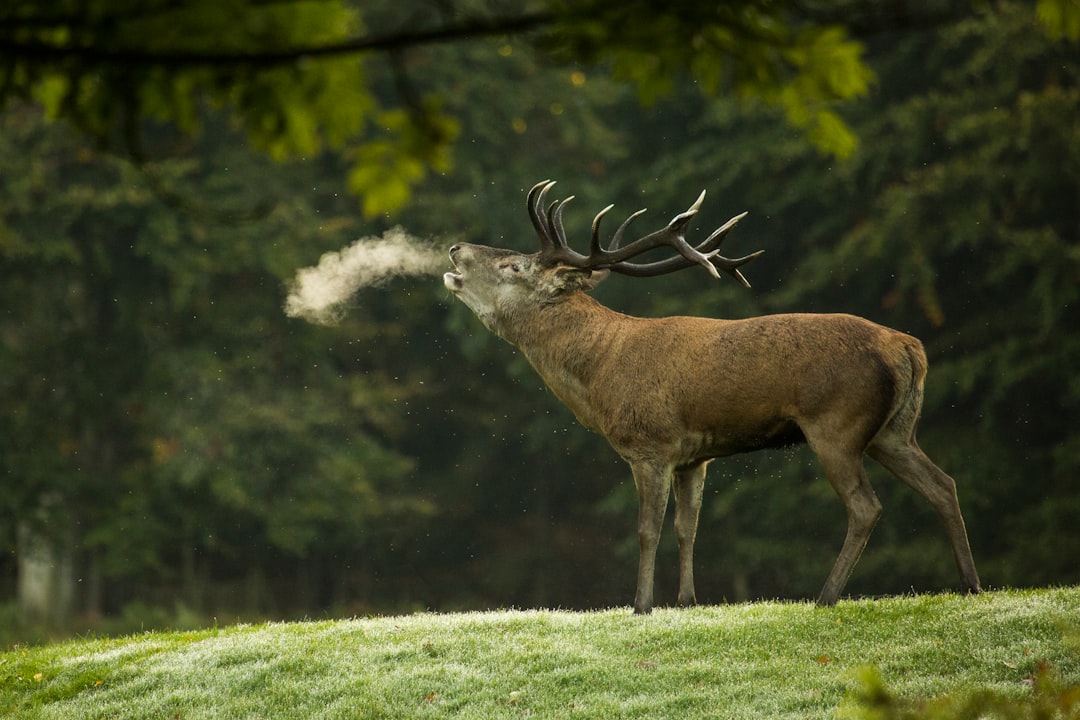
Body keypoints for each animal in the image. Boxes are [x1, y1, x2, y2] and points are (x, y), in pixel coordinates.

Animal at [442, 180, 984, 613]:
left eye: (514, 265)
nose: (454, 248)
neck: (600, 376)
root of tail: (910, 349)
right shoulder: (694, 457)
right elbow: (688, 527)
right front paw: (687, 600)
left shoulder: (651, 445)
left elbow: (647, 529)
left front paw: (641, 605)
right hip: (894, 431)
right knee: (944, 483)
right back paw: (971, 584)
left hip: (837, 424)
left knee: (866, 507)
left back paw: (825, 596)